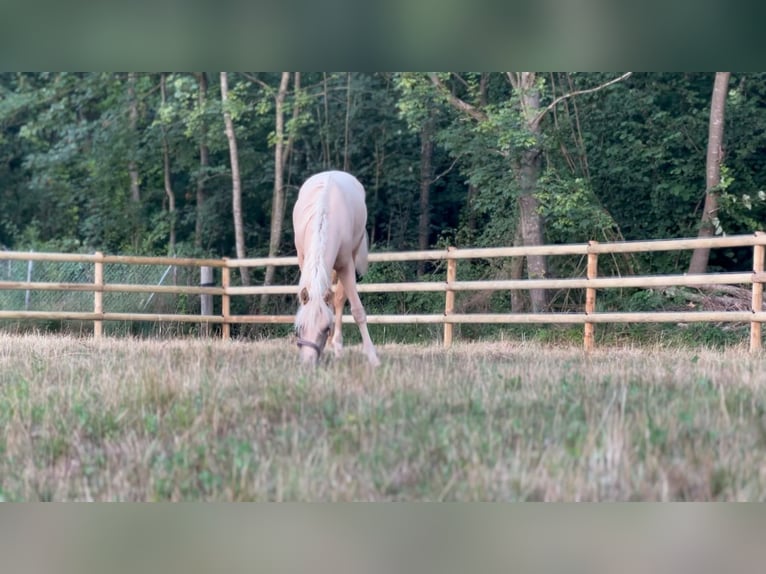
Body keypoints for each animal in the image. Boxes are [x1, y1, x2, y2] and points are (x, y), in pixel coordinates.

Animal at [292, 171, 380, 368]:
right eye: (299, 328)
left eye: (325, 328)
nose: (308, 363)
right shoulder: (303, 258)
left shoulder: (346, 265)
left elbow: (357, 311)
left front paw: (373, 357)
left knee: (339, 300)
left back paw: (338, 347)